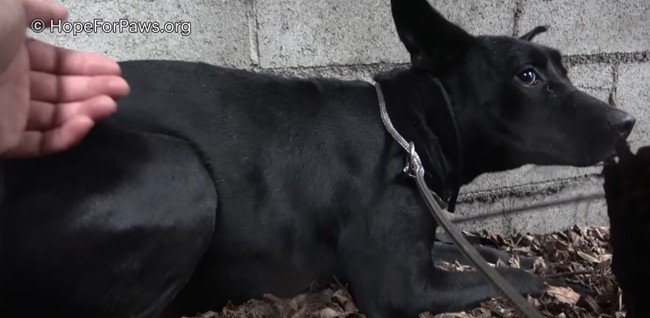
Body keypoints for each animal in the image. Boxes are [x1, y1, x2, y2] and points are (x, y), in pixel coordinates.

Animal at [0, 0, 632, 318]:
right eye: (527, 77)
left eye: (564, 69)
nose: (626, 121)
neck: (406, 129)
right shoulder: (403, 286)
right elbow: (514, 276)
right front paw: (533, 273)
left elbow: (475, 247)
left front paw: (499, 249)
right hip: (177, 174)